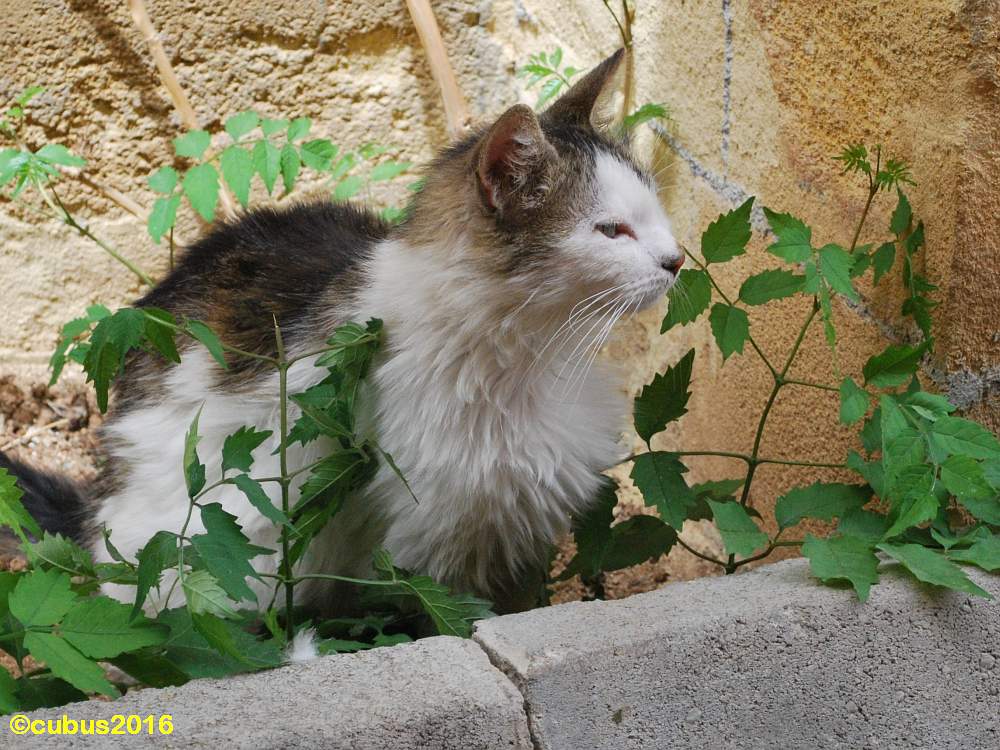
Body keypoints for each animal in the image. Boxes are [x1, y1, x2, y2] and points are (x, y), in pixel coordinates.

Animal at [4, 49, 682, 616]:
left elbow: (522, 605)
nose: (678, 260)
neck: (530, 356)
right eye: (611, 231)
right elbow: (444, 618)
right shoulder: (429, 543)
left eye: (654, 209)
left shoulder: (518, 523)